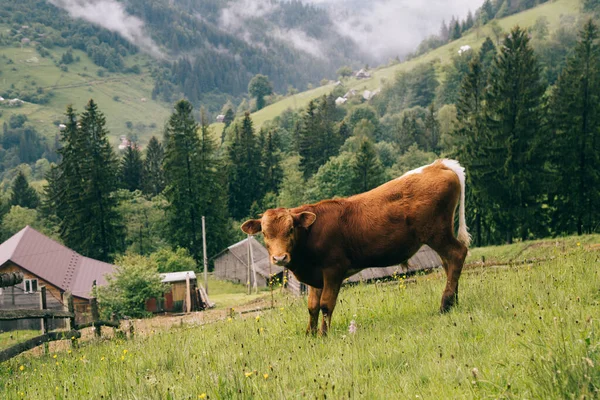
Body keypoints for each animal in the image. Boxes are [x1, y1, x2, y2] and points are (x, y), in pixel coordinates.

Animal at [241, 159, 472, 334]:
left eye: (290, 229)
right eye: (264, 233)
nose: (280, 258)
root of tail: (439, 164)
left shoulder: (333, 269)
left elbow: (325, 304)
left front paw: (324, 334)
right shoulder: (316, 275)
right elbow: (312, 306)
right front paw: (310, 335)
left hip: (436, 233)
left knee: (457, 254)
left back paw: (445, 305)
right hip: (440, 234)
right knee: (448, 263)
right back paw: (454, 302)